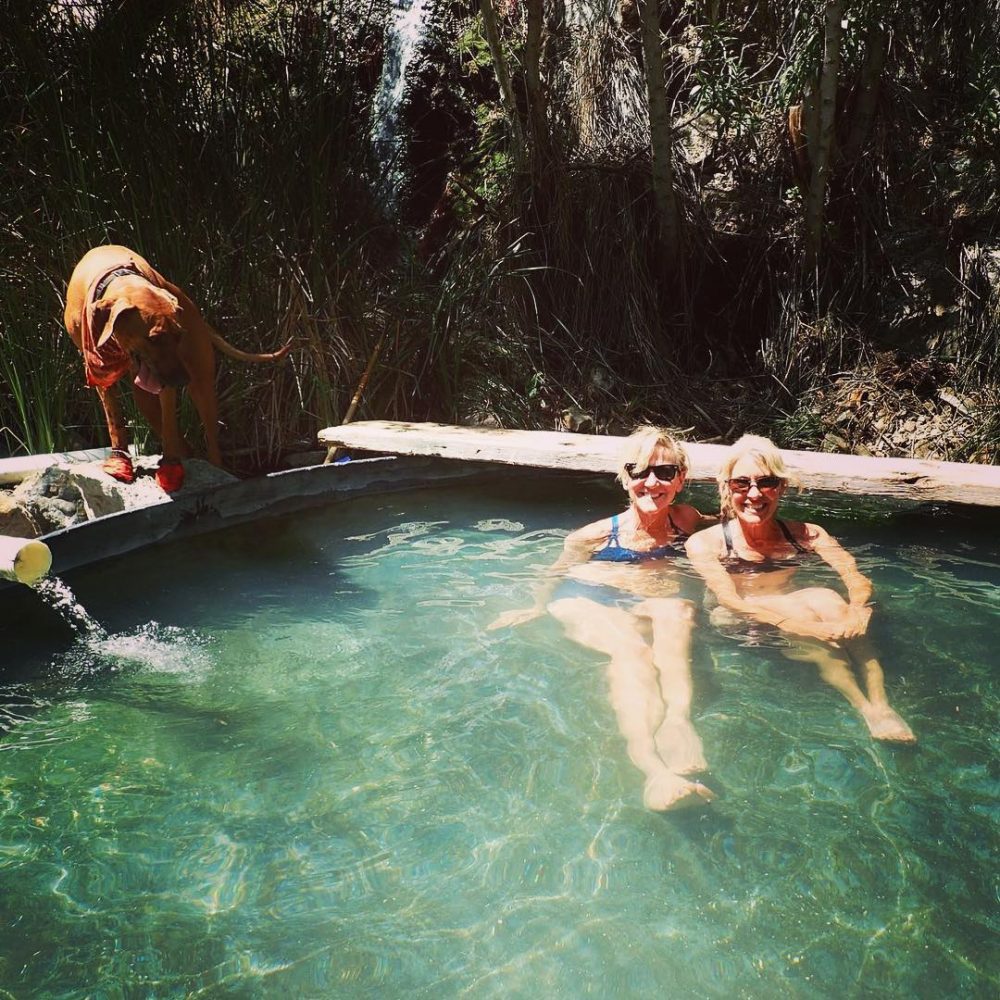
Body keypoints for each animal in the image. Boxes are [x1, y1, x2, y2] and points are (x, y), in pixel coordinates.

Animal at [65, 244, 292, 490]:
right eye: (153, 338)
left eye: (178, 335)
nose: (181, 379)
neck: (118, 277)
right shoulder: (101, 371)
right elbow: (114, 418)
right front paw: (119, 461)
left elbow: (169, 424)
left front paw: (170, 467)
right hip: (146, 397)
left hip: (201, 385)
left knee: (208, 438)